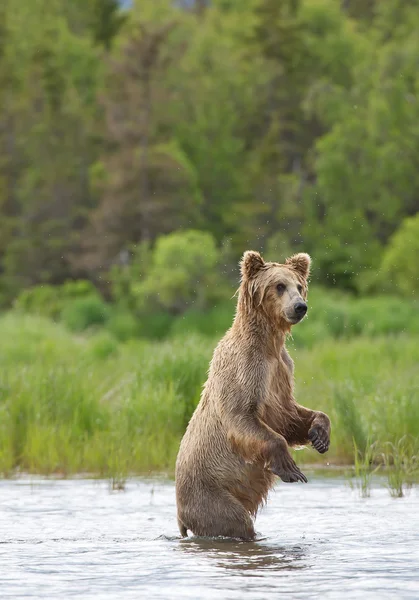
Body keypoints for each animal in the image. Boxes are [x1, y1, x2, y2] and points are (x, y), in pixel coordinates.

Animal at [175, 251, 332, 540]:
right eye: (279, 285)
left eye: (299, 286)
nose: (300, 307)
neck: (268, 344)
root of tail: (179, 514)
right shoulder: (246, 370)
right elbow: (242, 417)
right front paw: (291, 469)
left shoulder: (281, 373)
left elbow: (290, 417)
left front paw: (319, 435)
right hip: (210, 495)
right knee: (234, 521)